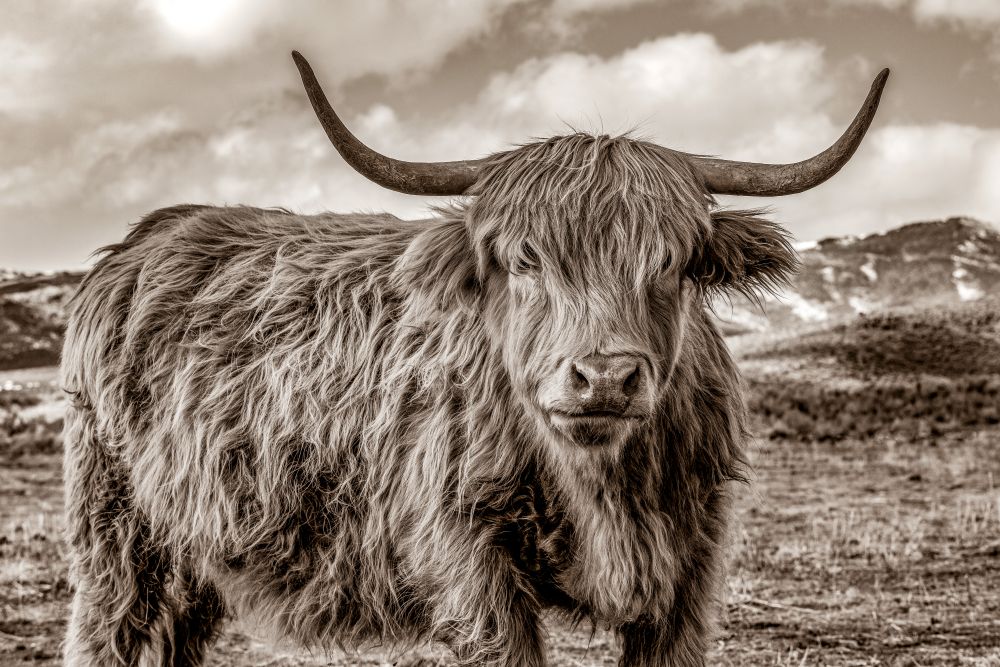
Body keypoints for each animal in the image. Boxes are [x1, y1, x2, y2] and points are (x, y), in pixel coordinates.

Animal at [61, 51, 888, 666]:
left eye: (674, 262)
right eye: (524, 259)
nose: (604, 376)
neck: (602, 490)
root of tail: (144, 238)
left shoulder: (688, 567)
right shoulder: (471, 560)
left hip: (196, 541)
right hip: (116, 526)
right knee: (108, 627)